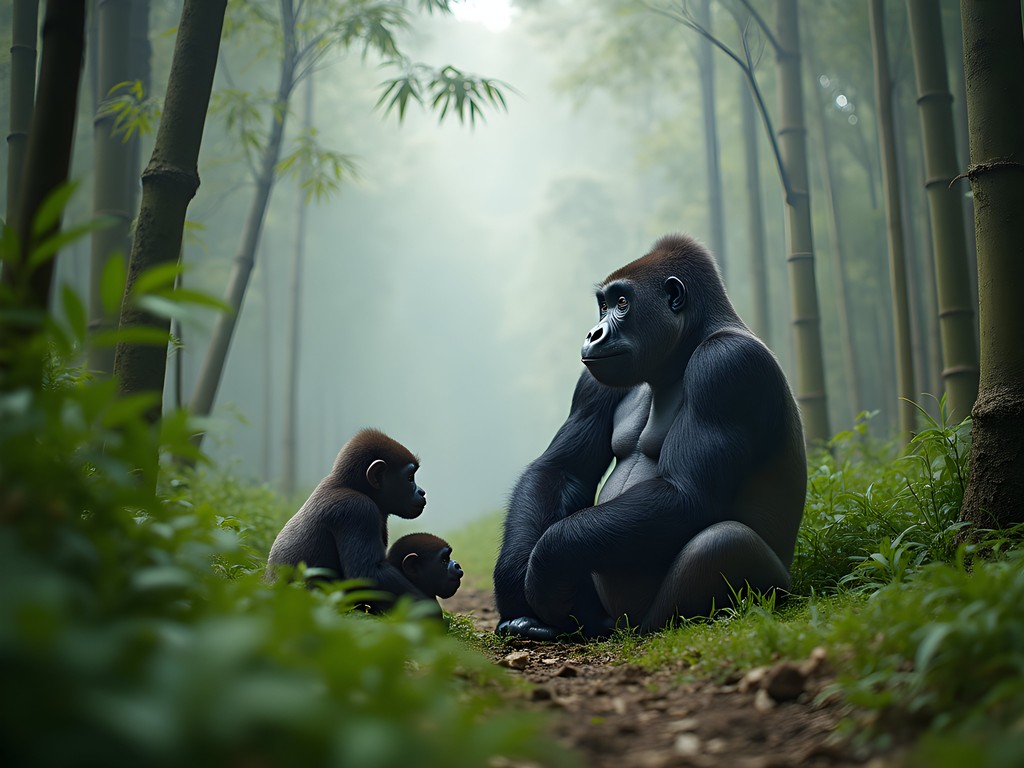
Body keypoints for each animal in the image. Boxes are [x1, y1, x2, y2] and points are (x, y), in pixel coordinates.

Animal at [493, 234, 806, 640]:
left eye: (622, 304)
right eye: (603, 306)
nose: (594, 333)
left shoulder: (726, 365)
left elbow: (686, 496)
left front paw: (546, 567)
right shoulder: (593, 381)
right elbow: (560, 469)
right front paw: (514, 583)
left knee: (721, 544)